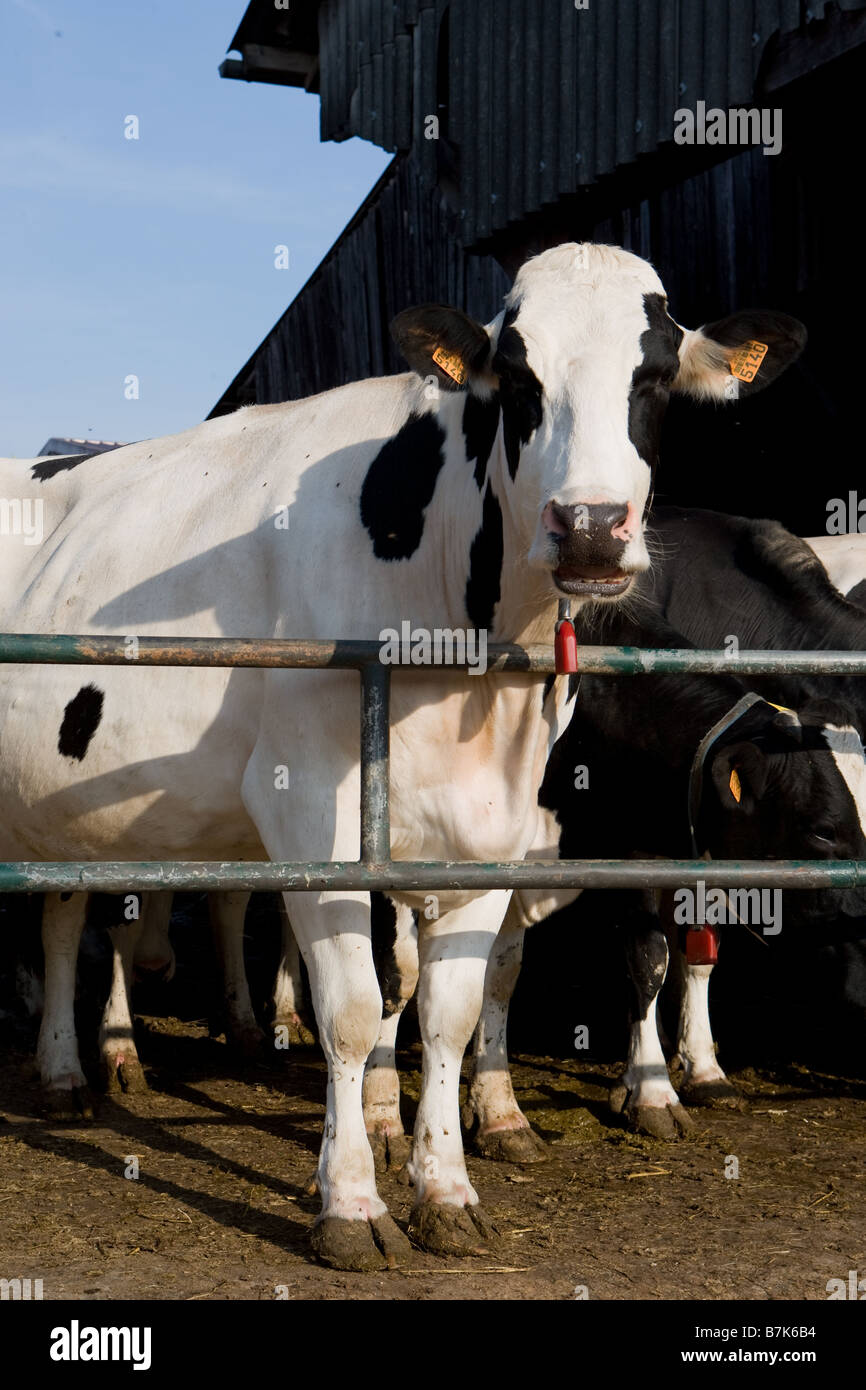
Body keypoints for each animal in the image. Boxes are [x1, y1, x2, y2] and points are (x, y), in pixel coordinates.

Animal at [1, 241, 806, 1273]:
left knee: (64, 917)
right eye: (518, 378)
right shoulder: (313, 815)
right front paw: (350, 1204)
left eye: (655, 378)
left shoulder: (495, 833)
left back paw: (67, 1071)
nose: (590, 527)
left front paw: (448, 1189)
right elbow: (353, 1008)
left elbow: (451, 1013)